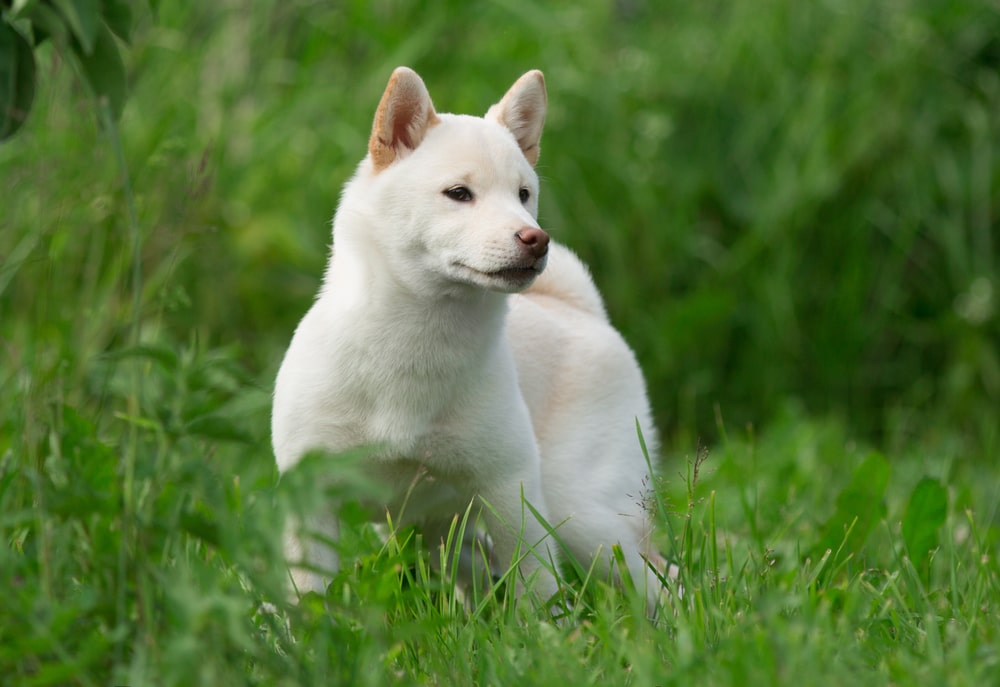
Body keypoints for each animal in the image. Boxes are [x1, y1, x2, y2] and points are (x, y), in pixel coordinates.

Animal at [274, 68, 664, 608]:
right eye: (459, 193)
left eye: (523, 194)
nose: (536, 239)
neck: (415, 346)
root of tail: (580, 310)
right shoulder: (311, 502)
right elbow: (309, 600)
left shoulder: (512, 494)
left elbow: (537, 592)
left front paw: (541, 631)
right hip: (443, 535)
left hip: (584, 521)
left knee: (665, 580)